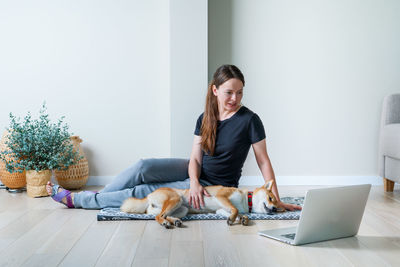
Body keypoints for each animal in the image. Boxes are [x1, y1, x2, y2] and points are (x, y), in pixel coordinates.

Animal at [120, 179, 286, 229]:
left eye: (278, 209)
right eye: (271, 198)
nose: (274, 209)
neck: (246, 201)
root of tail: (148, 196)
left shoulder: (221, 209)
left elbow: (237, 212)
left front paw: (243, 219)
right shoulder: (222, 196)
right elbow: (235, 210)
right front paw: (235, 218)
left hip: (182, 209)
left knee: (163, 215)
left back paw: (175, 221)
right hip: (176, 199)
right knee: (159, 217)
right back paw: (166, 223)